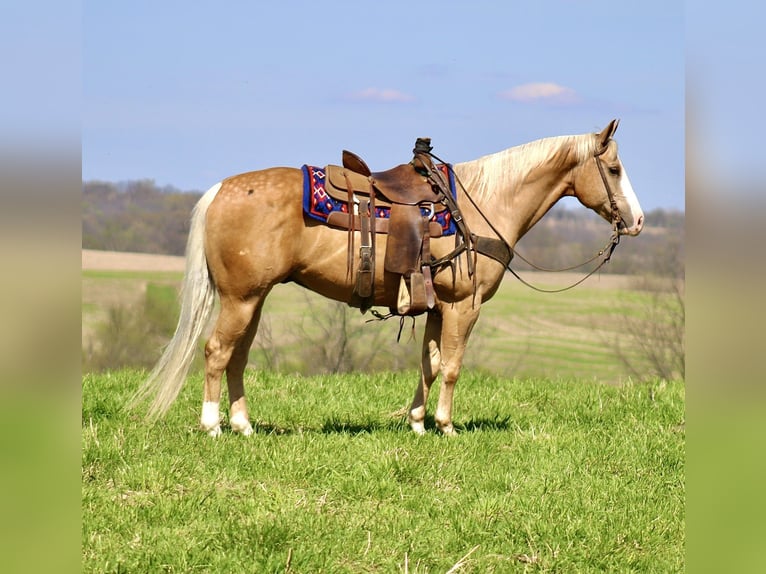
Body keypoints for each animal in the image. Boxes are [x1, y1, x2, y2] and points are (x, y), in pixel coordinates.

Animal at [131, 119, 644, 436]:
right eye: (614, 168)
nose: (638, 221)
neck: (481, 203)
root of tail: (221, 189)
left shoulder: (438, 305)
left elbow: (429, 363)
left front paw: (417, 422)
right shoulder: (465, 305)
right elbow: (452, 366)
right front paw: (446, 426)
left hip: (252, 300)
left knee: (237, 357)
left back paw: (243, 425)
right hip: (241, 298)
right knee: (217, 352)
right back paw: (212, 425)